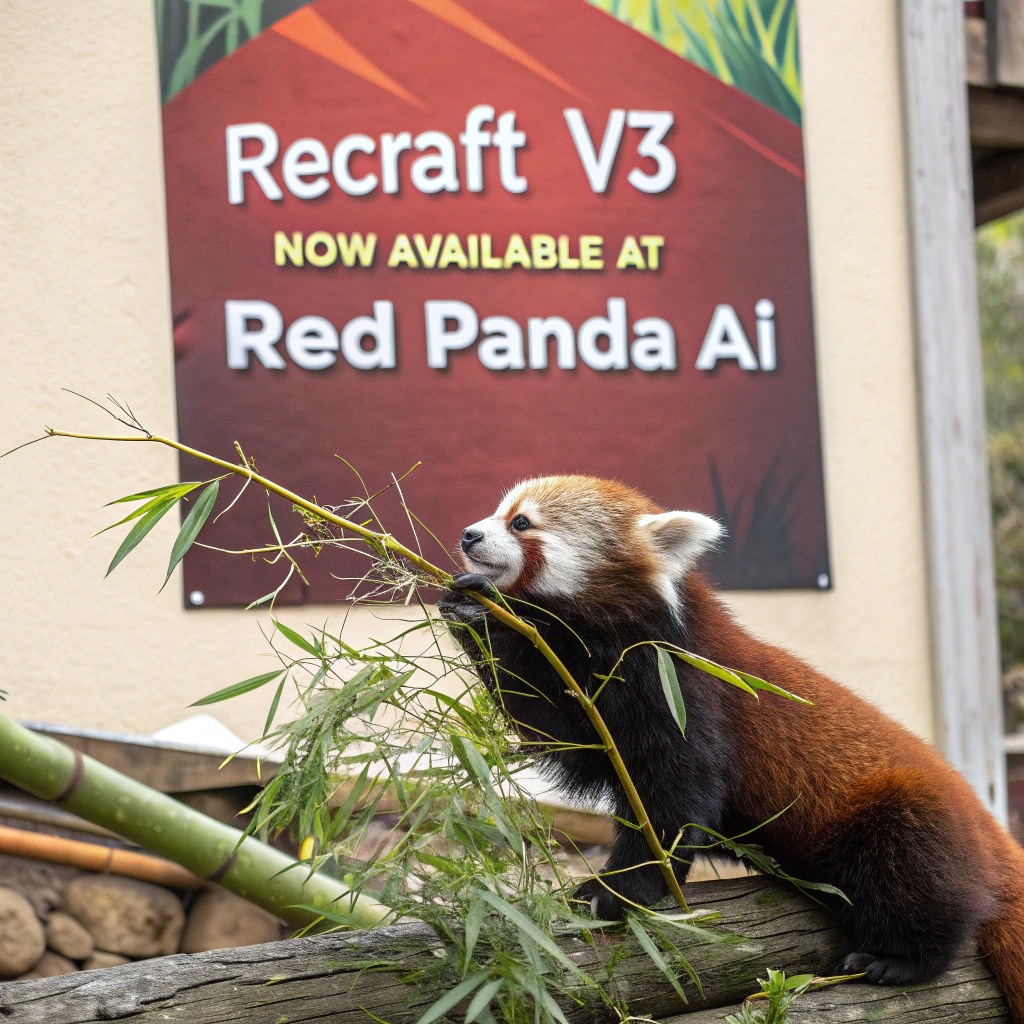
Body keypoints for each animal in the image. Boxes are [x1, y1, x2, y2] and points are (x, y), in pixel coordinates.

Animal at [438, 474, 1024, 1019]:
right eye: (498, 511)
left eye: (521, 522)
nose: (468, 534)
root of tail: (986, 824)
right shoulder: (590, 692)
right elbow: (567, 740)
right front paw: (472, 609)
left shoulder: (680, 682)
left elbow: (676, 794)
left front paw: (618, 890)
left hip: (907, 815)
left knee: (916, 881)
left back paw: (898, 959)